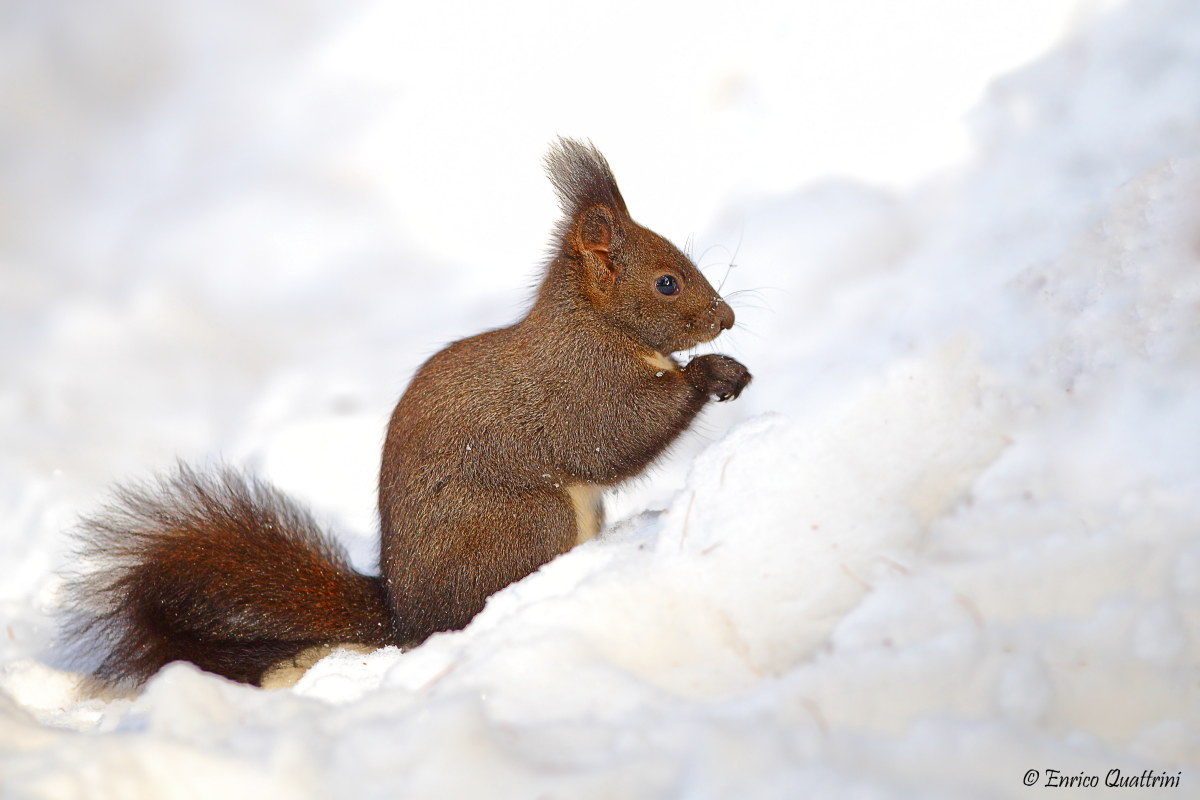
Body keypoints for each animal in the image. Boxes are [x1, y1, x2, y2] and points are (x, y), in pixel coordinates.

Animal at [62, 138, 751, 687]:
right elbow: (617, 435)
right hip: (528, 522)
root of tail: (404, 616)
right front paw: (711, 373)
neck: (596, 323)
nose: (726, 318)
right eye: (667, 282)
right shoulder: (581, 387)